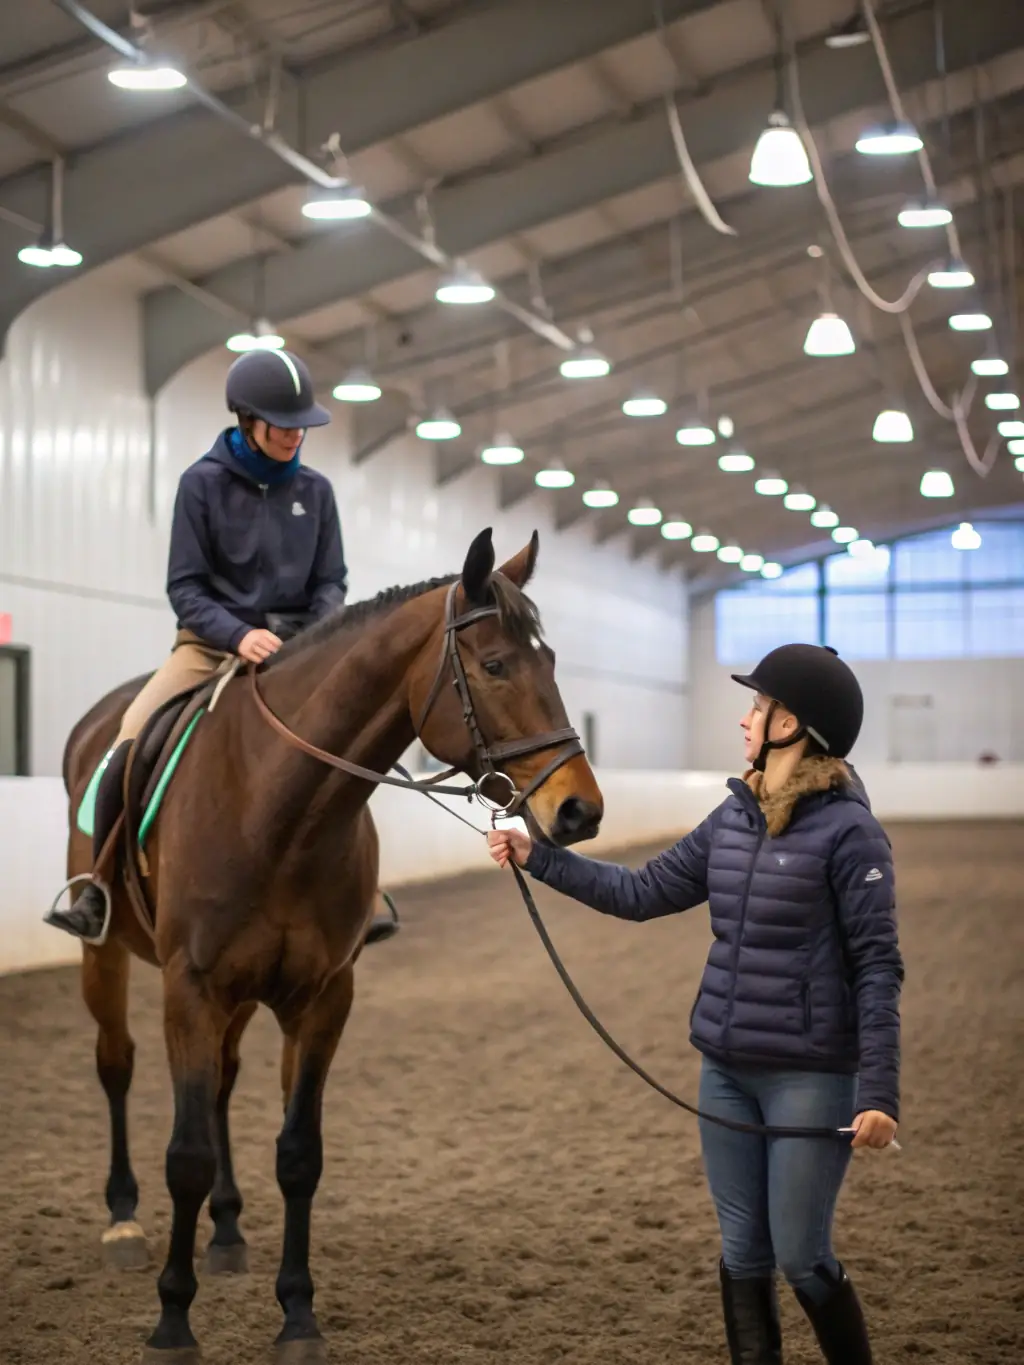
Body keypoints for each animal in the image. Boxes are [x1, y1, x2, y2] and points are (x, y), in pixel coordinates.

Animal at [60, 527, 604, 1365]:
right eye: (495, 665)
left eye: (548, 662)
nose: (579, 809)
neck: (276, 808)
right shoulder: (191, 988)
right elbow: (185, 1154)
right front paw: (173, 1320)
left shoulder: (321, 996)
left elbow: (298, 1154)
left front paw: (298, 1315)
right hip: (108, 953)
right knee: (116, 1064)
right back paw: (122, 1219)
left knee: (222, 1085)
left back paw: (227, 1231)